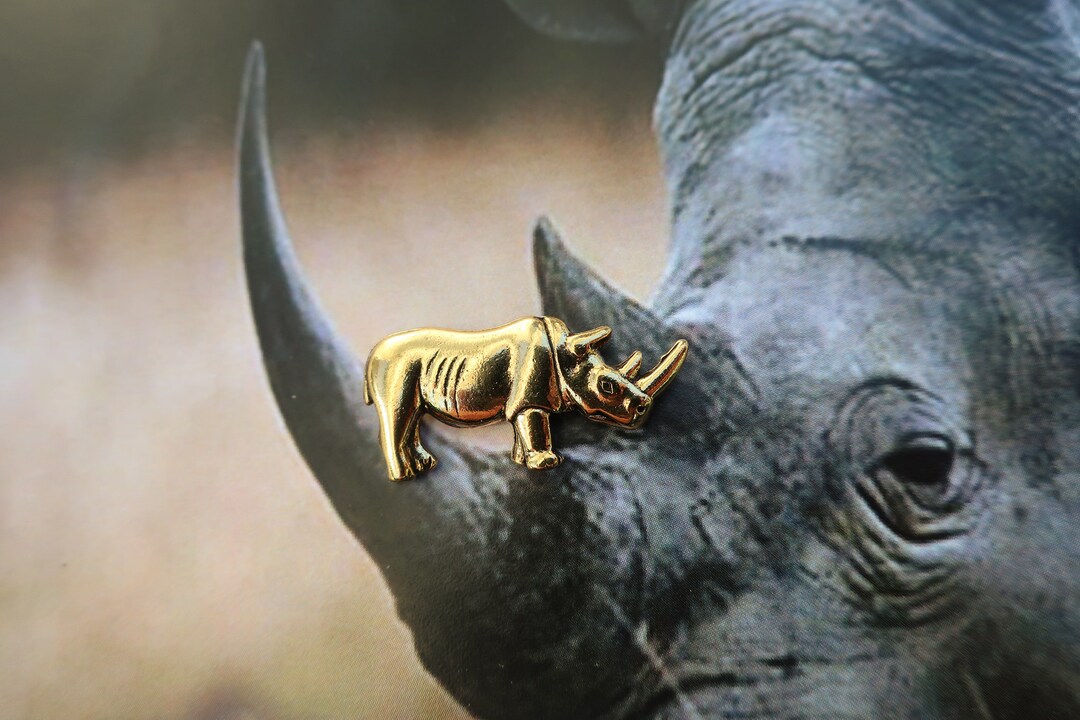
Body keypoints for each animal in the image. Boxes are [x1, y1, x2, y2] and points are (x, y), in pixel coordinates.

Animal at [363, 316, 687, 479]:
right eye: (606, 386)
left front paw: (522, 460)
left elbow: (524, 430)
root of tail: (372, 356)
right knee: (399, 413)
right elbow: (534, 426)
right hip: (395, 368)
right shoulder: (529, 398)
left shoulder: (524, 399)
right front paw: (547, 463)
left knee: (413, 416)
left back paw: (424, 466)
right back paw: (405, 477)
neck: (565, 355)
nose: (644, 407)